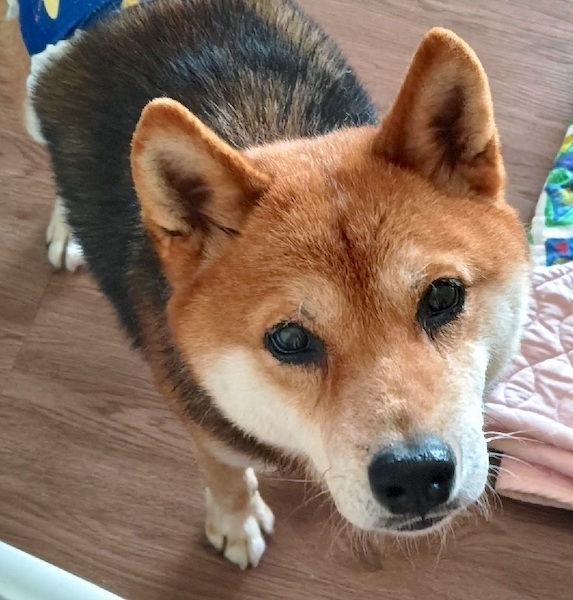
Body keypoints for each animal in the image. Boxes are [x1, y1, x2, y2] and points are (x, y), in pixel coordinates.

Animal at [13, 0, 530, 570]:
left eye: (442, 296)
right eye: (289, 339)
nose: (415, 474)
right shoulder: (202, 420)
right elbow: (224, 473)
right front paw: (234, 522)